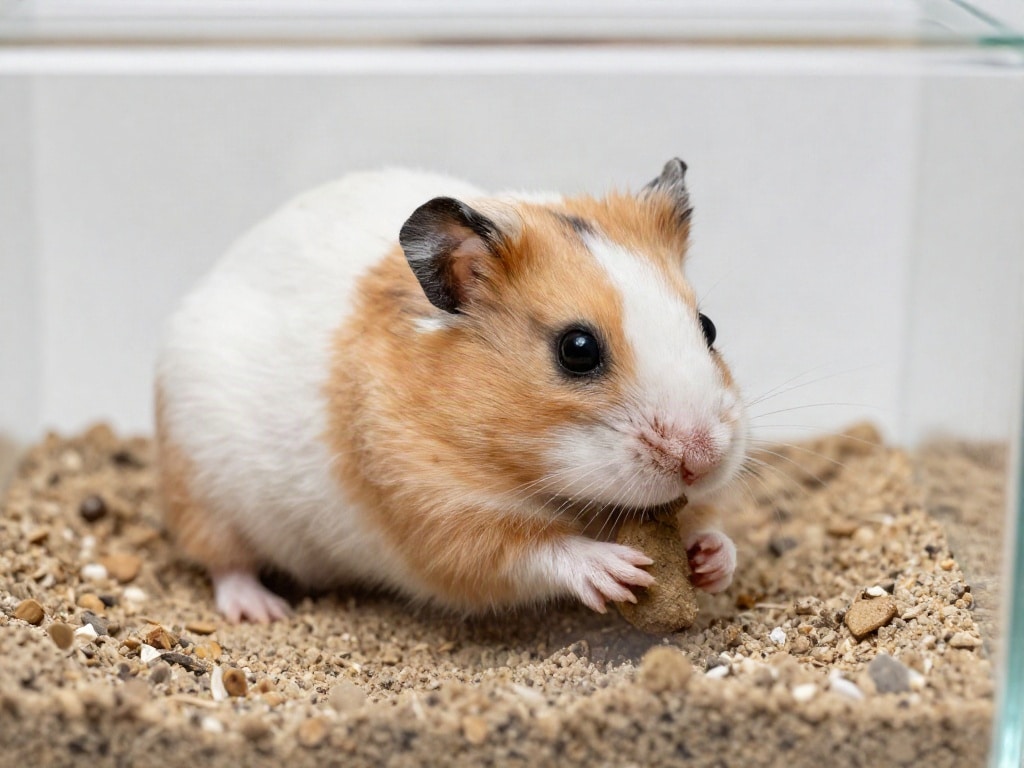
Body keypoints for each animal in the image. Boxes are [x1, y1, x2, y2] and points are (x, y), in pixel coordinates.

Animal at [155, 159, 748, 623]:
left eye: (709, 327)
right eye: (577, 350)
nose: (702, 460)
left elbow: (714, 532)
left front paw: (711, 560)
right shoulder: (439, 514)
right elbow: (533, 549)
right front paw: (618, 569)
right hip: (205, 492)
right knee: (224, 563)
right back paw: (261, 610)